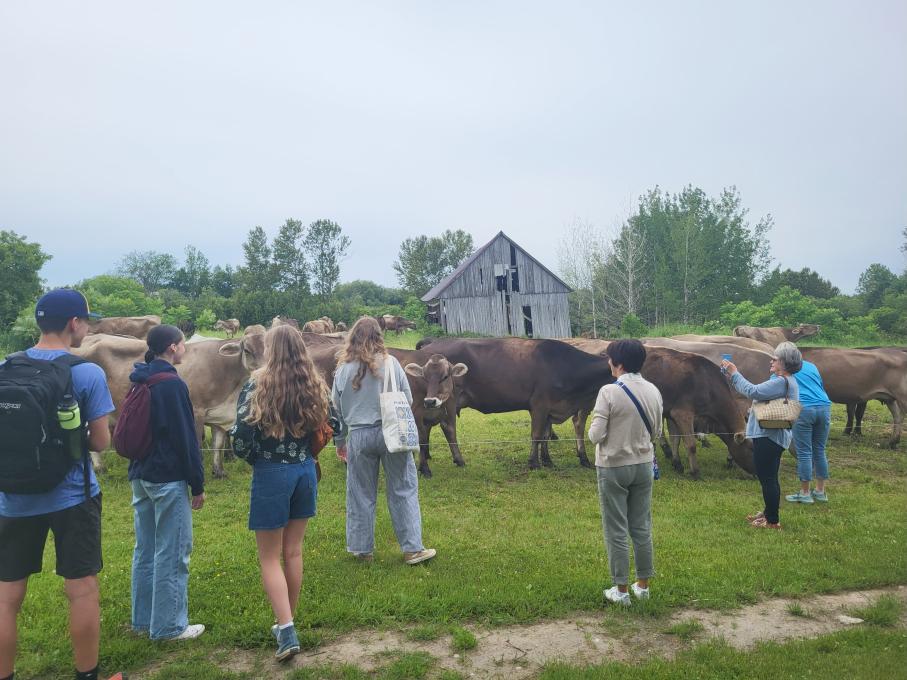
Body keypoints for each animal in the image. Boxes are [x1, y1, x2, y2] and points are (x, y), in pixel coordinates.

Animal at [72, 329, 266, 478]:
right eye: (247, 350)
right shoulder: (196, 410)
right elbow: (197, 443)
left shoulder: (219, 414)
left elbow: (217, 446)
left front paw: (219, 472)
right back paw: (100, 468)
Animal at [306, 344, 469, 477]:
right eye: (425, 377)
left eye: (445, 376)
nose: (430, 401)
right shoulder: (416, 412)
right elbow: (422, 439)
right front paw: (424, 468)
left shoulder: (449, 410)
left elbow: (451, 434)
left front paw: (459, 460)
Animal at [415, 337, 616, 469]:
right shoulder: (539, 404)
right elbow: (536, 434)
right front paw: (534, 463)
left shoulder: (550, 408)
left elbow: (545, 435)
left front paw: (547, 460)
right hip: (445, 400)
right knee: (447, 428)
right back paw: (457, 459)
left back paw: (429, 455)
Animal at [561, 338, 753, 477]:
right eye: (752, 449)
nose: (756, 474)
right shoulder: (683, 412)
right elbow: (690, 444)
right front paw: (695, 472)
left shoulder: (673, 412)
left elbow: (676, 439)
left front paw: (677, 463)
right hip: (591, 399)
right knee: (579, 422)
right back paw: (583, 457)